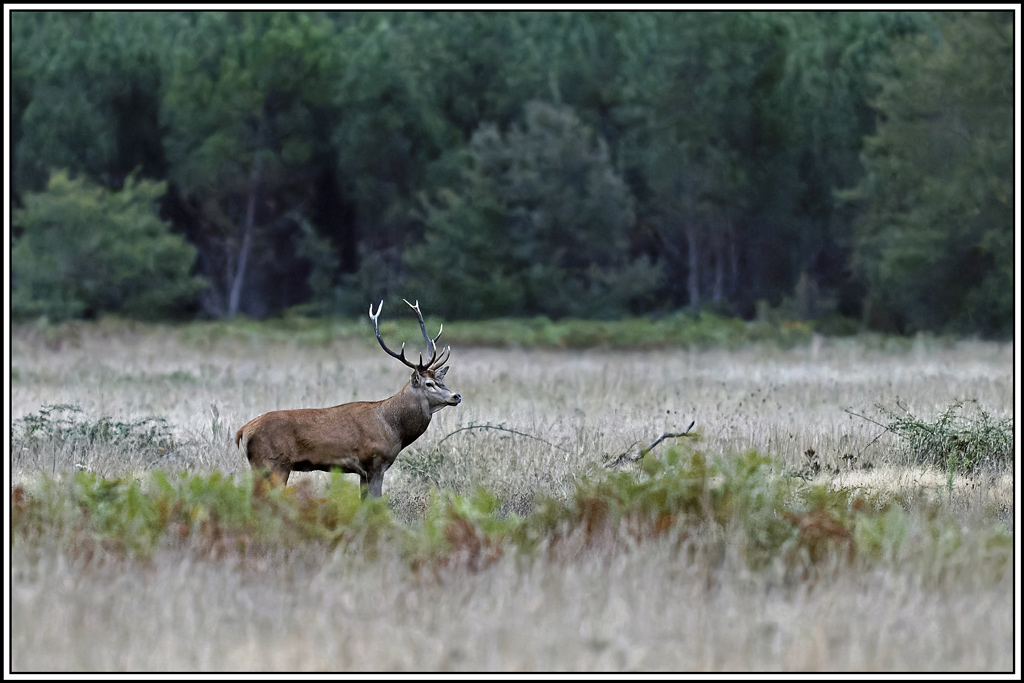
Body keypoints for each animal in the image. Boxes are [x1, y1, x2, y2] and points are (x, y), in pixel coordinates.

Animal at [235, 299, 461, 498]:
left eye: (441, 380)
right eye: (429, 383)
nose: (456, 396)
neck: (393, 428)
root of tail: (243, 431)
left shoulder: (363, 471)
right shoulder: (375, 462)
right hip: (272, 463)